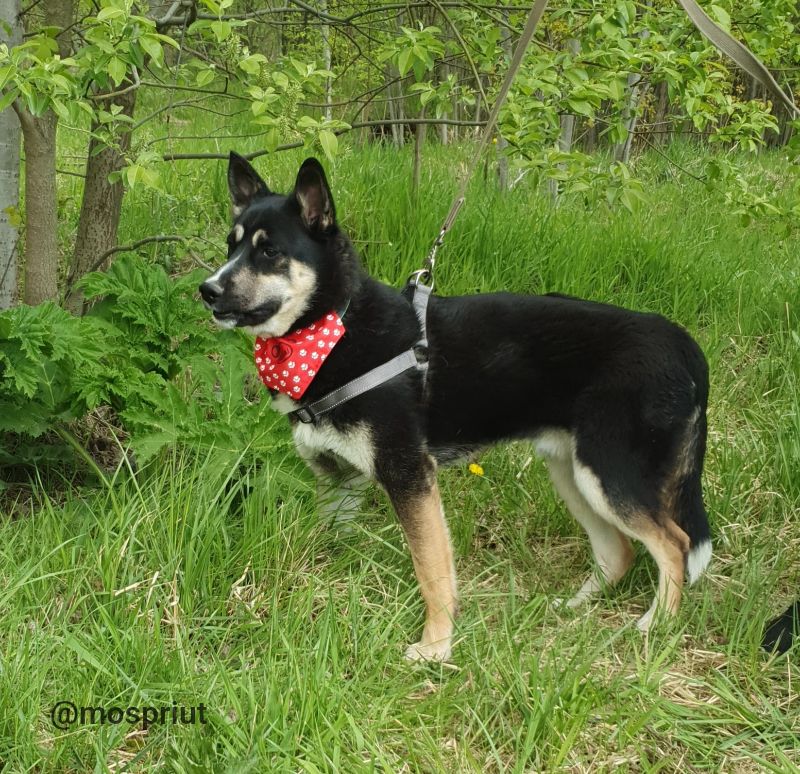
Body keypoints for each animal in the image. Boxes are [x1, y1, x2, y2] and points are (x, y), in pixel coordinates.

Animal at [200, 155, 712, 664]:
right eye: (231, 245)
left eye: (270, 252)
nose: (207, 290)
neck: (333, 328)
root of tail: (682, 344)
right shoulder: (337, 479)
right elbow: (329, 539)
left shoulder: (410, 475)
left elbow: (432, 569)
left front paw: (436, 645)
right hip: (573, 474)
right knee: (619, 551)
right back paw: (574, 608)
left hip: (609, 474)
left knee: (675, 544)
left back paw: (656, 624)